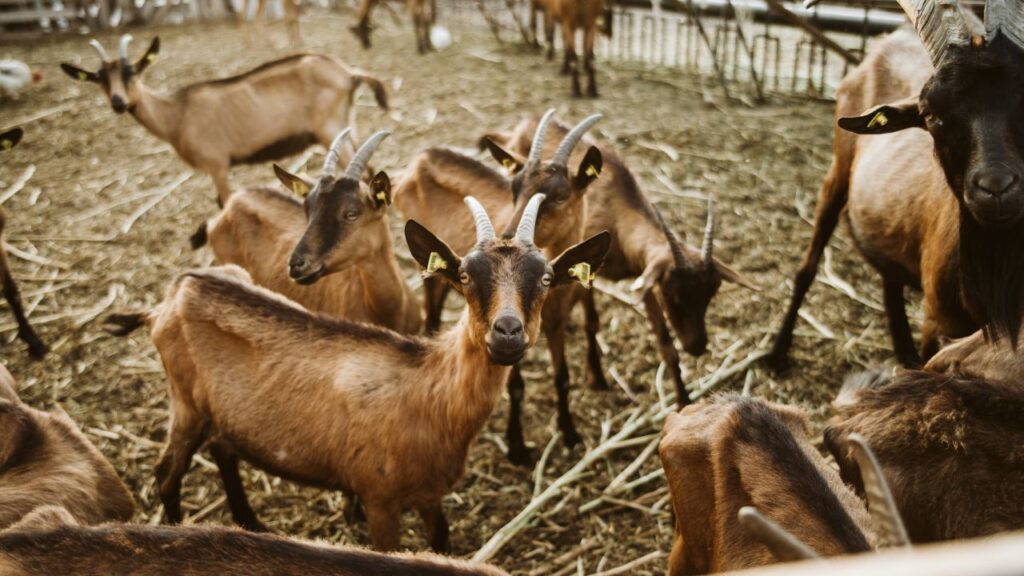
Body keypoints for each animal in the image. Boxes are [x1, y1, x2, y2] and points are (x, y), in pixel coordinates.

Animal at [61, 35, 389, 206]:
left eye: (131, 71)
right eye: (99, 78)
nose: (118, 102)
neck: (176, 114)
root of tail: (348, 73)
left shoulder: (217, 165)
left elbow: (225, 204)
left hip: (329, 129)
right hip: (346, 125)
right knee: (369, 167)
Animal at [103, 195, 610, 551]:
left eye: (545, 277)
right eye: (465, 276)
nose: (507, 333)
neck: (430, 391)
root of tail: (171, 297)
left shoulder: (430, 495)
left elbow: (441, 543)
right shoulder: (379, 498)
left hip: (219, 412)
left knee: (224, 451)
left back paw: (251, 522)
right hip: (185, 403)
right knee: (166, 474)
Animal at [395, 110, 603, 464]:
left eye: (561, 196)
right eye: (514, 189)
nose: (507, 235)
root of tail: (421, 158)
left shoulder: (554, 321)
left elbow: (562, 378)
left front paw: (570, 433)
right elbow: (516, 386)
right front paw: (517, 445)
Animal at [482, 114, 755, 449]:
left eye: (710, 293)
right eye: (673, 294)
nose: (698, 345)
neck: (615, 207)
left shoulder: (643, 276)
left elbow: (665, 345)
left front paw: (683, 404)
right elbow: (592, 320)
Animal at [770, 0, 1024, 370]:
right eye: (930, 114)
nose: (995, 188)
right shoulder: (939, 321)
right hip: (837, 172)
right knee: (808, 267)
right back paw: (776, 353)